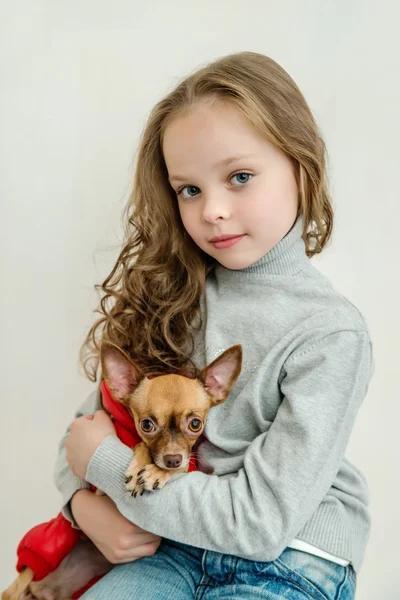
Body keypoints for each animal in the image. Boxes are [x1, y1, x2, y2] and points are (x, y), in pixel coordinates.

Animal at [3, 342, 242, 600]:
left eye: (195, 424)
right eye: (146, 425)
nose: (172, 459)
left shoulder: (186, 465)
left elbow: (182, 469)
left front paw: (157, 473)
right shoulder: (102, 492)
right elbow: (141, 446)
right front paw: (140, 468)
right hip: (42, 558)